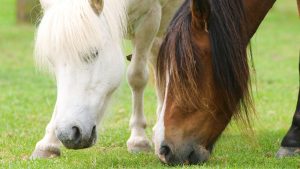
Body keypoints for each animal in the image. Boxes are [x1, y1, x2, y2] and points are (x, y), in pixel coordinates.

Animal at [31, 0, 180, 158]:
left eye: (92, 53)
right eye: (52, 62)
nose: (68, 134)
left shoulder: (149, 18)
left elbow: (137, 76)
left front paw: (138, 138)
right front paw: (48, 143)